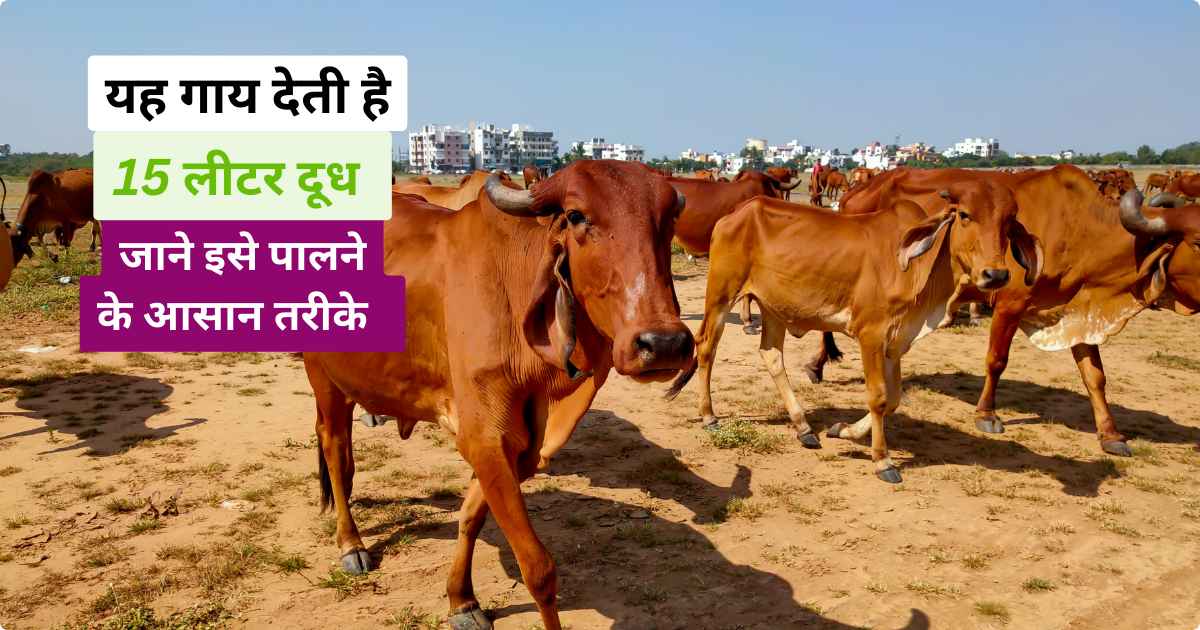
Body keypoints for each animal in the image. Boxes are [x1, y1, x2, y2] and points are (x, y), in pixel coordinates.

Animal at [303, 161, 693, 630]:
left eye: (670, 216)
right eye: (576, 216)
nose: (664, 343)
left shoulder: (521, 446)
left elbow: (470, 516)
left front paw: (461, 599)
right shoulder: (483, 437)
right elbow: (538, 569)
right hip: (325, 380)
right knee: (335, 450)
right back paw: (351, 544)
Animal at [666, 179, 1038, 483]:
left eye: (1008, 223)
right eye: (964, 215)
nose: (996, 275)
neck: (922, 270)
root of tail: (735, 214)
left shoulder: (896, 341)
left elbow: (895, 398)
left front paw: (843, 430)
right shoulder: (871, 334)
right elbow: (879, 396)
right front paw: (882, 460)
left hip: (772, 307)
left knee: (771, 355)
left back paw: (804, 426)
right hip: (721, 294)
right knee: (707, 346)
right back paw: (709, 415)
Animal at [810, 164, 1200, 459]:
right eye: (1197, 242)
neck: (1078, 227)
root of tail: (860, 188)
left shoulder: (1076, 311)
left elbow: (1095, 377)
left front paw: (1111, 434)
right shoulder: (1010, 304)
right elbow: (997, 361)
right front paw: (986, 414)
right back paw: (818, 363)